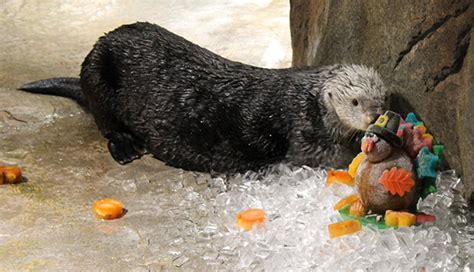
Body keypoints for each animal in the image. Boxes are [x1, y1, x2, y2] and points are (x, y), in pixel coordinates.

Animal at [20, 22, 386, 172]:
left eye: (382, 100)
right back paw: (126, 146)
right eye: (355, 101)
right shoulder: (302, 129)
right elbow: (322, 156)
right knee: (104, 121)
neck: (308, 96)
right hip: (98, 71)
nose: (373, 116)